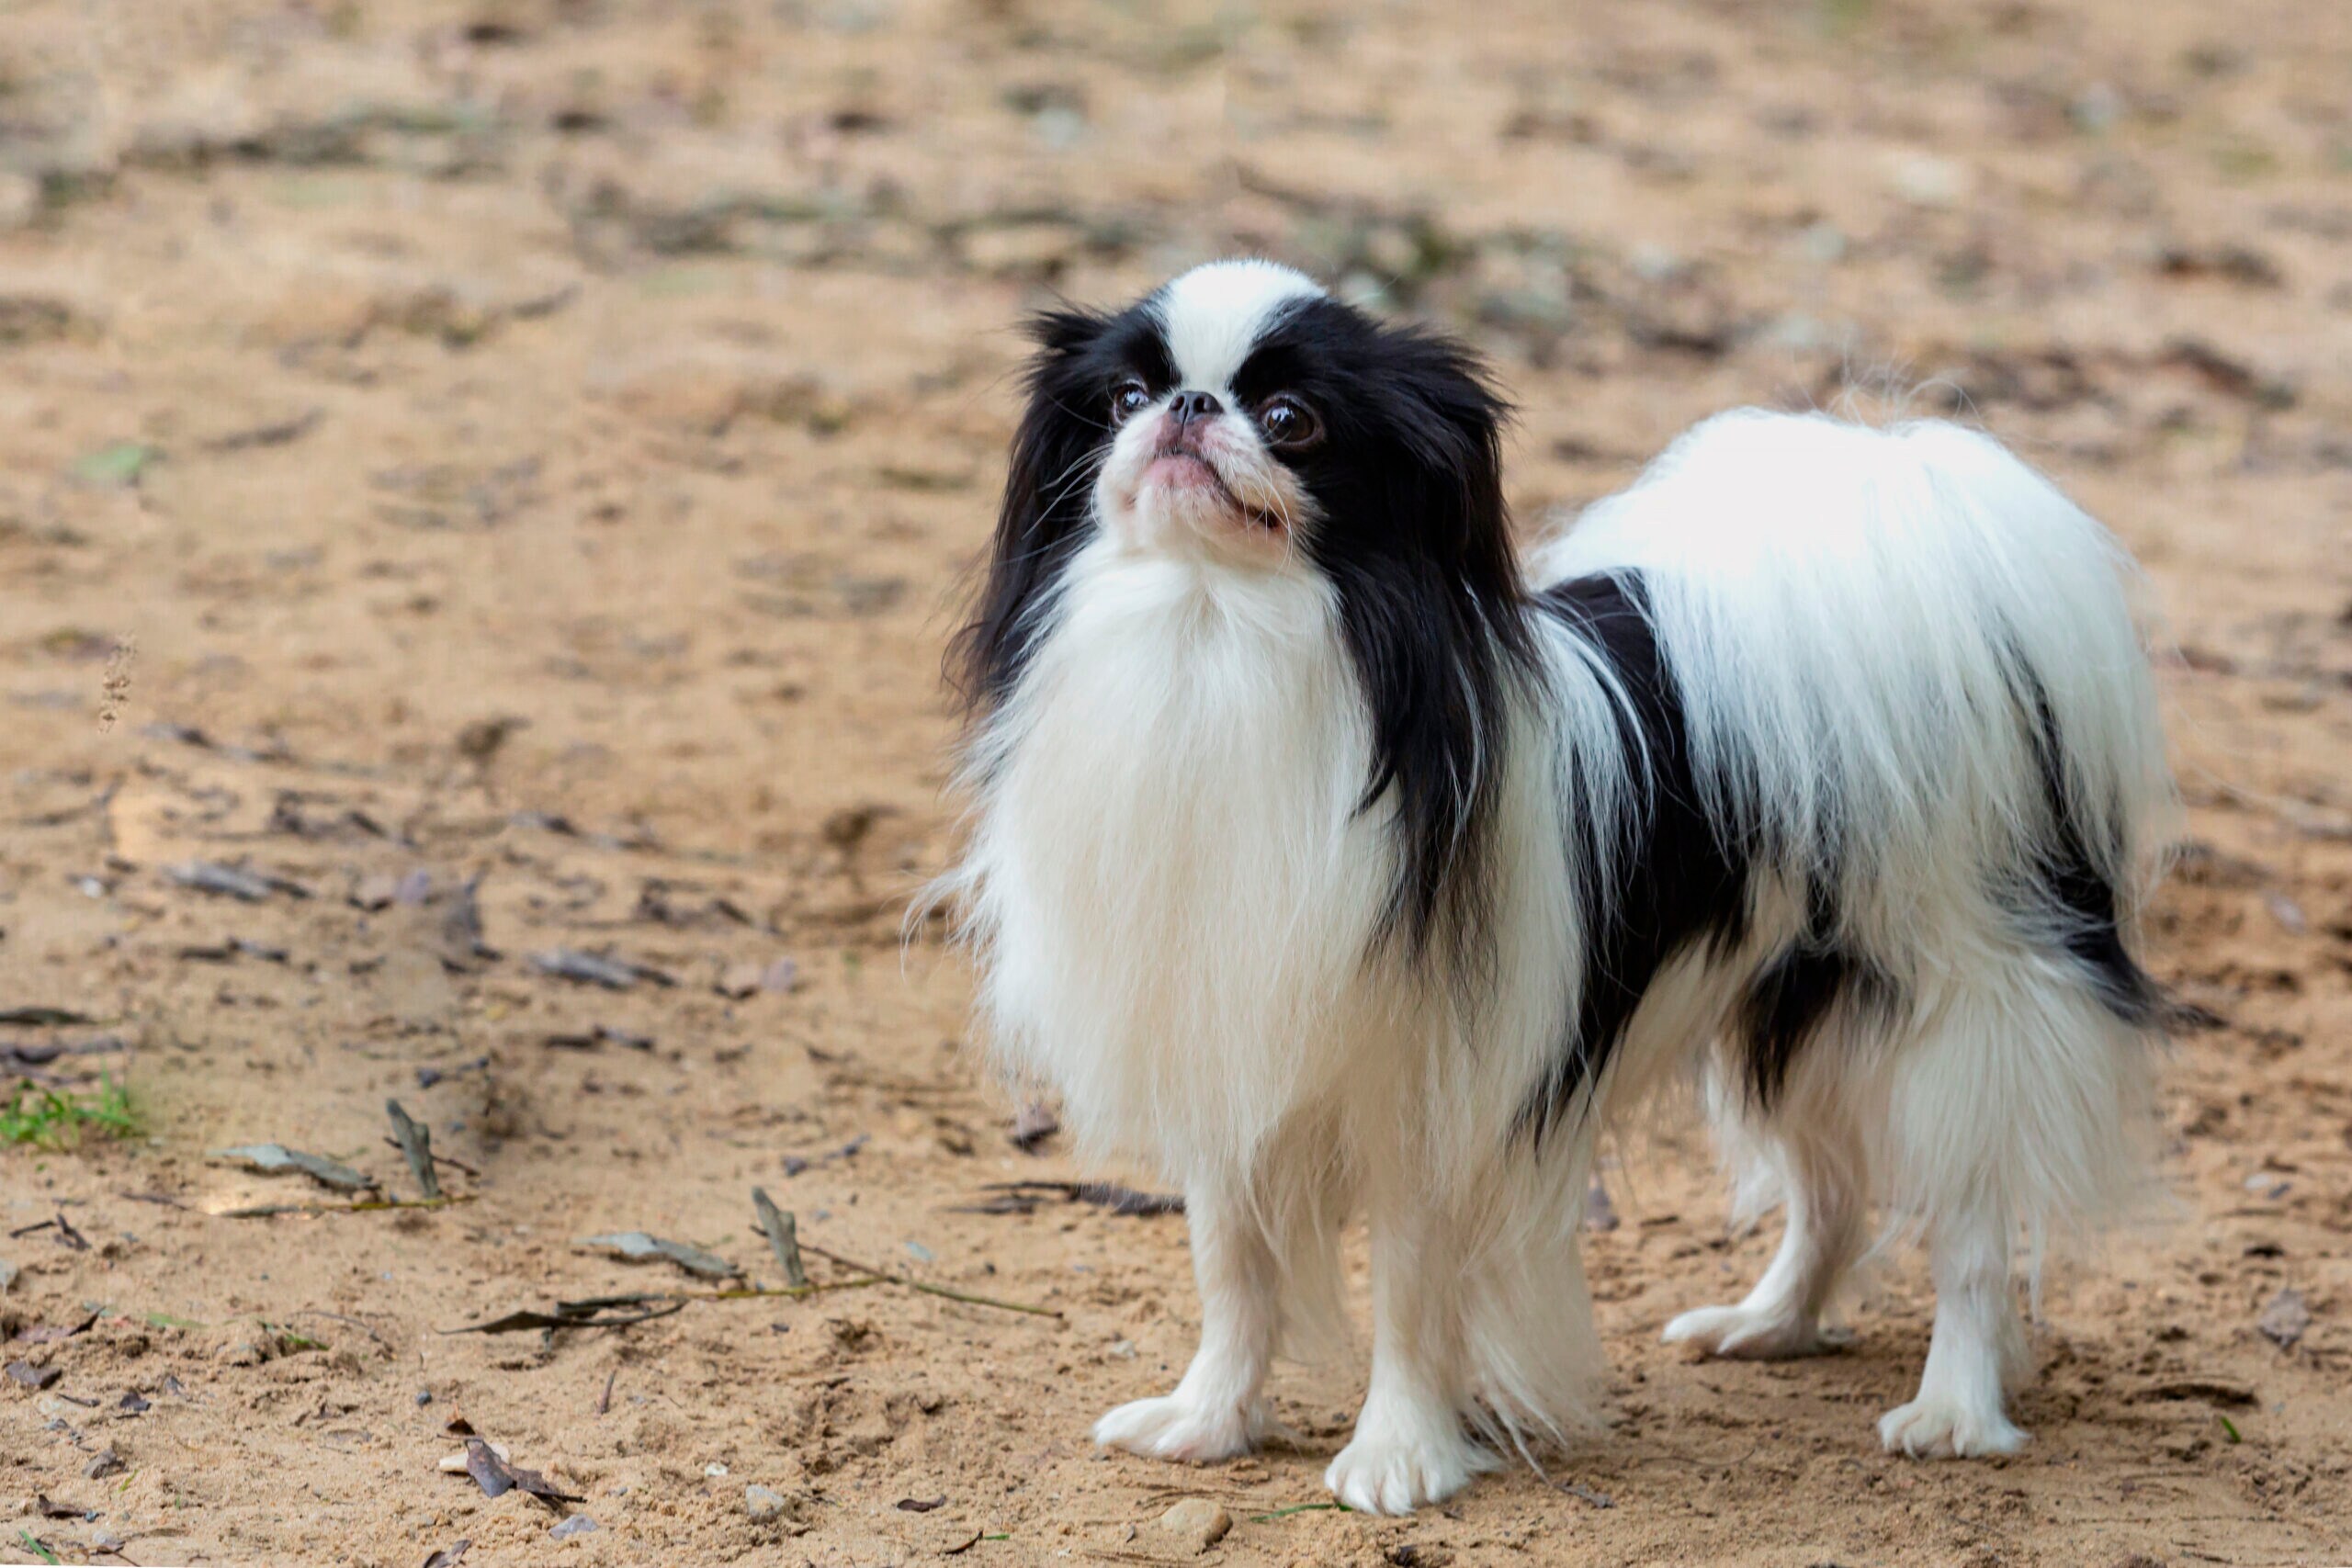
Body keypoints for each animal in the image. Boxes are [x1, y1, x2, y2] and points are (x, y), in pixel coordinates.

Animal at [931, 261, 2164, 1523]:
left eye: (1290, 420)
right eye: (1124, 399)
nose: (1186, 410)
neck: (1211, 631)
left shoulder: (1432, 1093)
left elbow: (1408, 1291)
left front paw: (1397, 1455)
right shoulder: (1227, 1052)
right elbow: (1231, 1266)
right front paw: (1209, 1420)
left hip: (1965, 1005)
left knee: (1967, 1228)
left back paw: (1955, 1410)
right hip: (1793, 1001)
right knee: (1827, 1187)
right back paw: (1769, 1324)